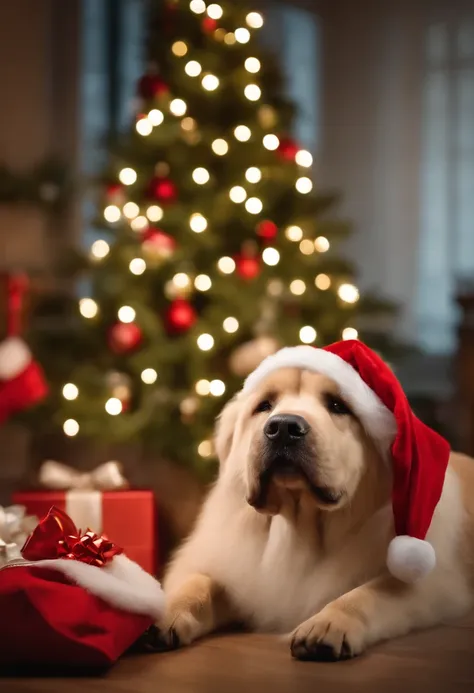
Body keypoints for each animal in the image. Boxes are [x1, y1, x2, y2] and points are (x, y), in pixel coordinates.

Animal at [158, 362, 474, 660]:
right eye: (264, 405)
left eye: (337, 405)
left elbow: (368, 593)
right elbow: (197, 585)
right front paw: (162, 612)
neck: (300, 526)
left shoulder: (430, 583)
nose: (283, 427)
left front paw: (327, 624)